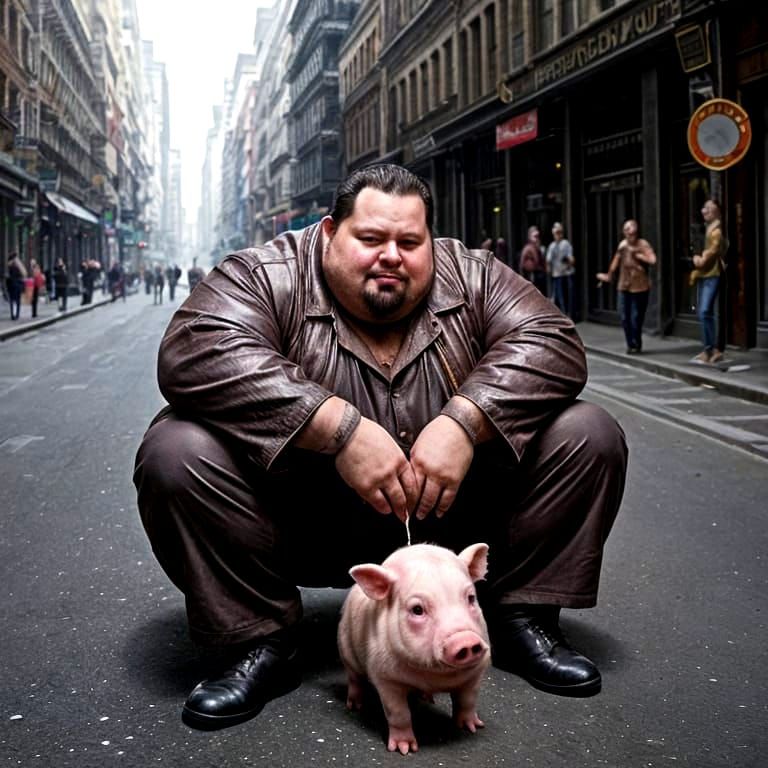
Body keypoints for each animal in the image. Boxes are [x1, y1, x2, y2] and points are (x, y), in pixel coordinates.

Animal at [337, 543, 490, 755]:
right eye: (417, 610)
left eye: (471, 598)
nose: (466, 640)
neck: (435, 677)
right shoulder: (385, 677)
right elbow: (398, 713)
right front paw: (405, 749)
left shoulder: (477, 671)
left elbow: (468, 700)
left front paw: (473, 727)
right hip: (345, 650)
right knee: (354, 679)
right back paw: (355, 706)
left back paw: (428, 699)